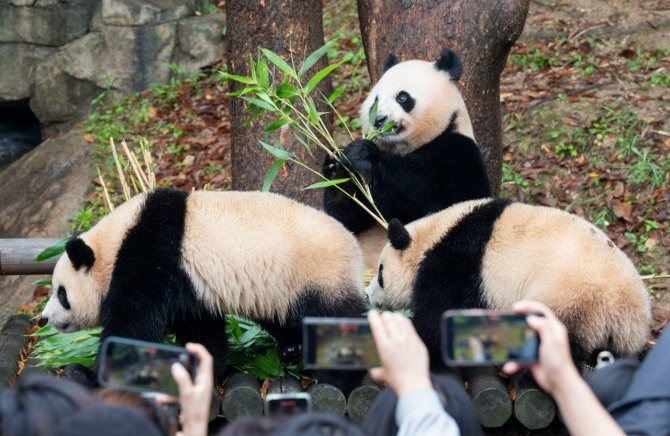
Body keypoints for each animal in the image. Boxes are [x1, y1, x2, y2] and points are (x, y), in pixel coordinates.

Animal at [42, 189, 368, 386]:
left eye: (61, 293)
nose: (45, 317)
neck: (114, 244)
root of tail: (354, 248)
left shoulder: (151, 260)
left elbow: (132, 328)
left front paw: (86, 374)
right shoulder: (190, 287)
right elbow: (201, 330)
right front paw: (201, 366)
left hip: (316, 274)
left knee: (334, 320)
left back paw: (340, 374)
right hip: (281, 290)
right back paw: (292, 348)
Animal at [322, 48, 490, 272]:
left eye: (402, 97)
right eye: (375, 101)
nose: (379, 120)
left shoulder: (458, 154)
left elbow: (428, 199)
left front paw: (362, 153)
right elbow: (344, 221)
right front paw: (336, 167)